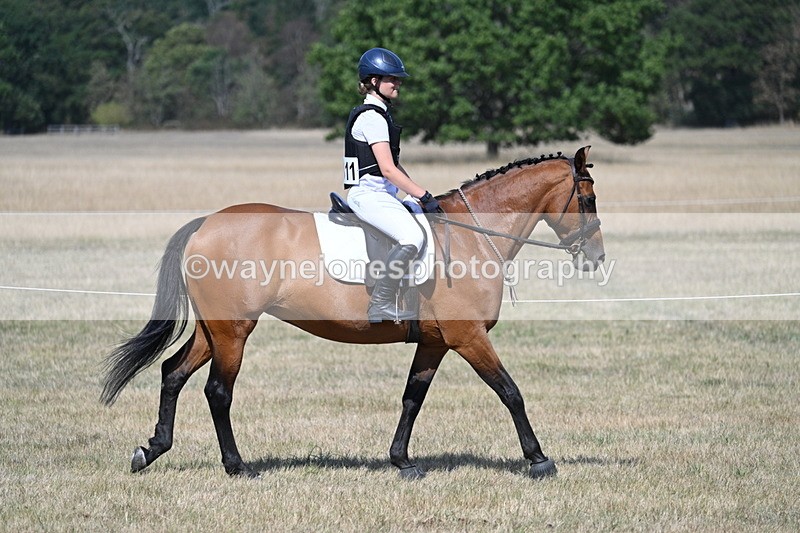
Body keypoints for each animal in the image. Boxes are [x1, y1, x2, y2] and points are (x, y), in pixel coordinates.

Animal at [101, 146, 604, 480]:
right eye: (588, 199)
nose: (596, 257)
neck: (473, 234)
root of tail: (207, 223)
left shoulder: (435, 342)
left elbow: (412, 398)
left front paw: (402, 460)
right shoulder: (468, 337)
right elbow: (510, 392)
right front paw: (538, 459)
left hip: (214, 330)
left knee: (172, 373)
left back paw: (152, 450)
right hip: (233, 333)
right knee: (218, 392)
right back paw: (237, 466)